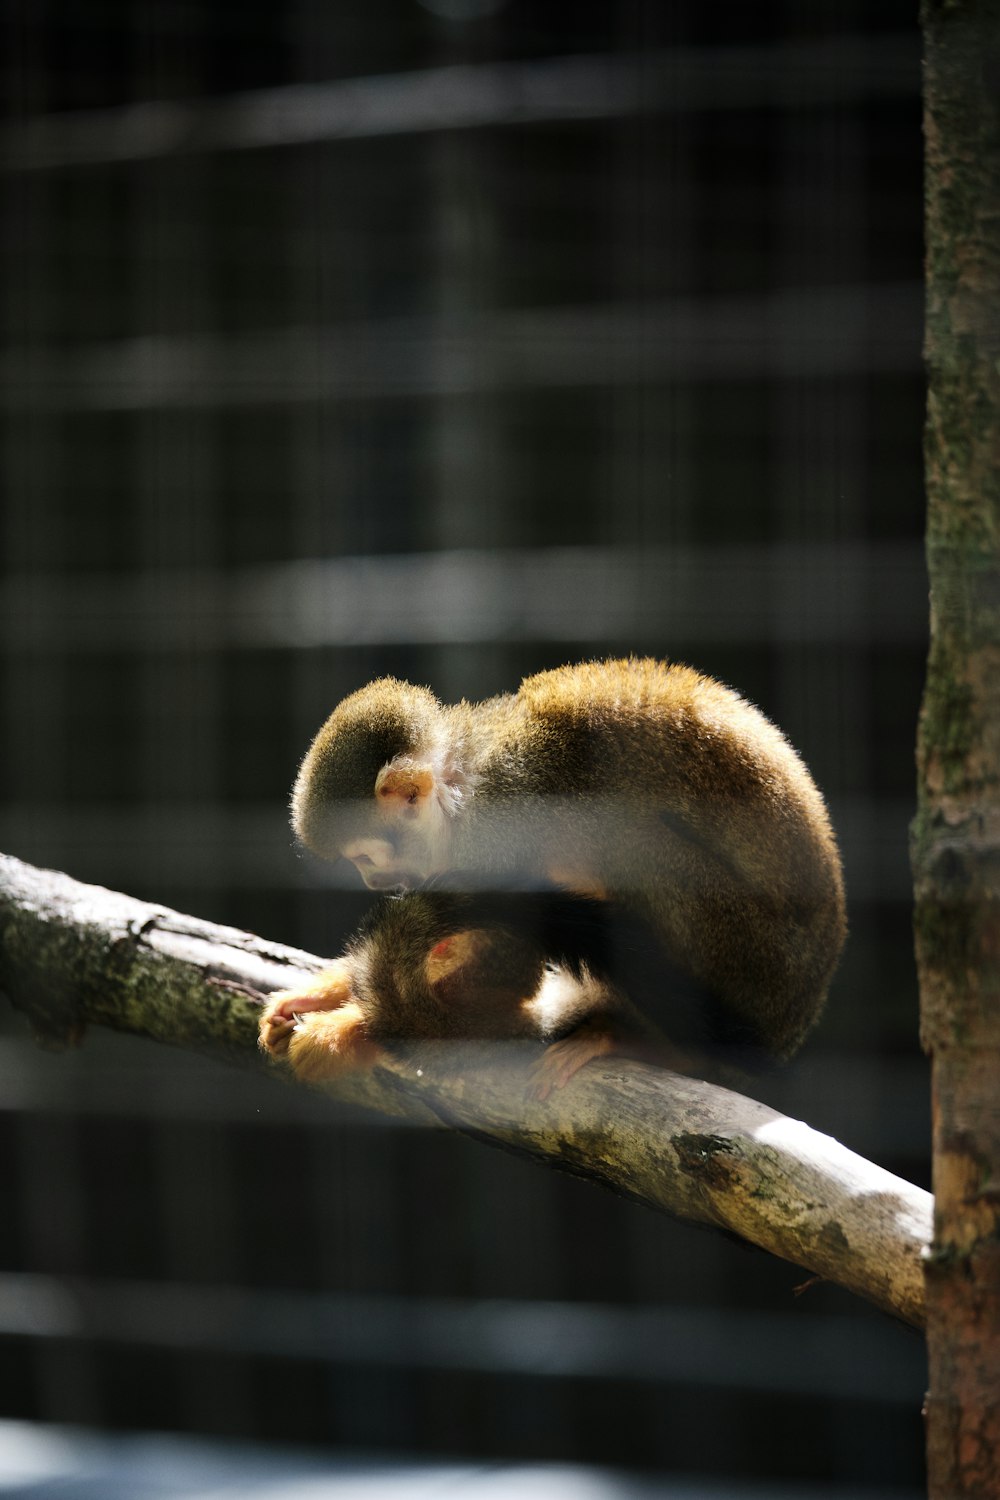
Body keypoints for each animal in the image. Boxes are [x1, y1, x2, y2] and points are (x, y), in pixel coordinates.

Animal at [262, 657, 851, 1080]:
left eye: (364, 859)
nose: (375, 882)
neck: (461, 782)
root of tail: (787, 1030)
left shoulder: (498, 833)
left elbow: (508, 971)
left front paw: (352, 1027)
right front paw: (327, 991)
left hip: (749, 959)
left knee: (627, 837)